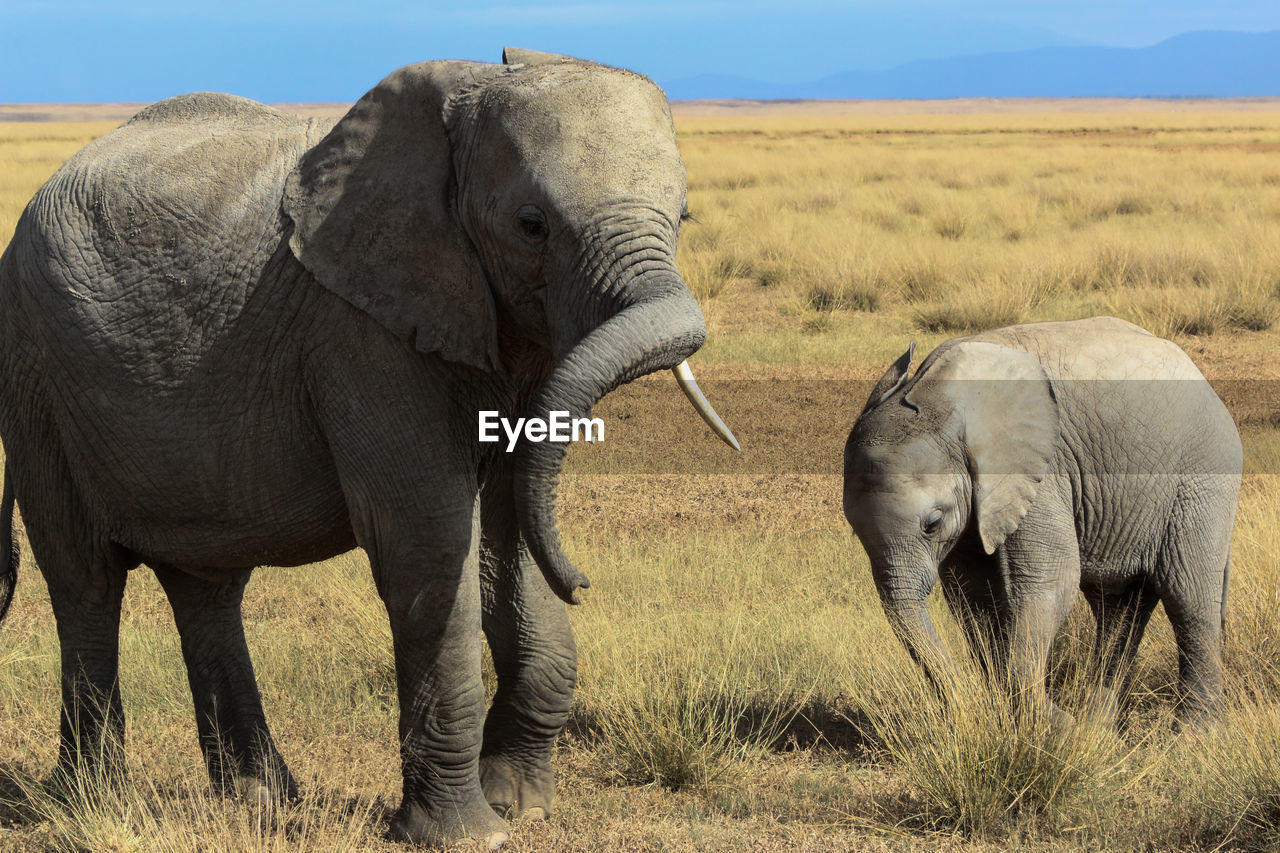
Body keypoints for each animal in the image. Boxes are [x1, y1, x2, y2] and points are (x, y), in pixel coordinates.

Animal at [0, 51, 737, 845]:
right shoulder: (361, 333)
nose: (585, 582)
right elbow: (429, 540)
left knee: (206, 583)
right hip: (36, 380)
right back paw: (92, 801)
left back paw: (260, 800)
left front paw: (520, 803)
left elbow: (509, 526)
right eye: (531, 225)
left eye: (684, 216)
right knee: (84, 578)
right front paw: (470, 835)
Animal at [839, 317, 1239, 722]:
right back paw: (1096, 727)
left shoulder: (1043, 473)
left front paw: (1052, 725)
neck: (939, 396)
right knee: (1118, 606)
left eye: (932, 524)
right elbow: (975, 597)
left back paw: (1193, 731)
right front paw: (1020, 716)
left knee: (1187, 595)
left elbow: (1050, 582)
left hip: (1203, 477)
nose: (964, 704)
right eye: (855, 533)